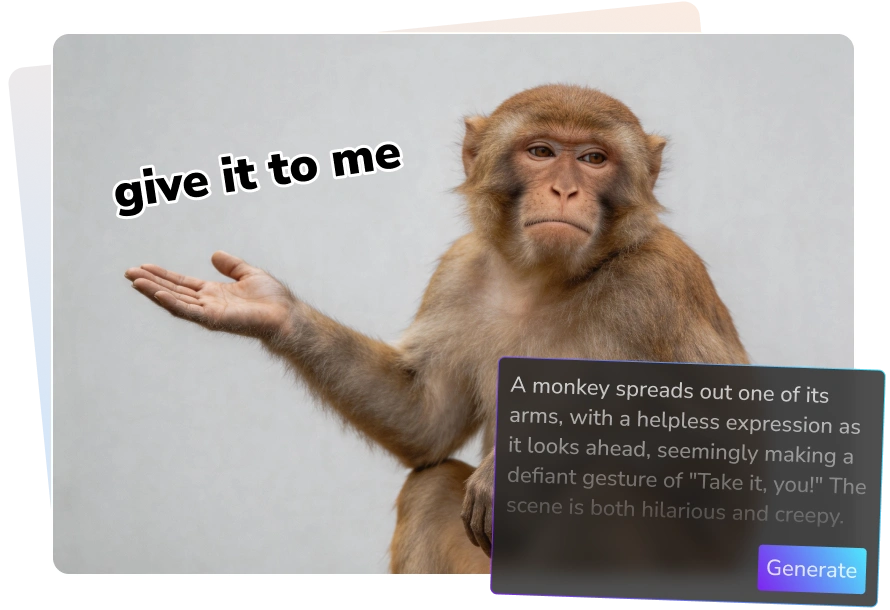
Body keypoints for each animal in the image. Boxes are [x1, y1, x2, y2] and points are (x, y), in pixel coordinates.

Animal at [124, 84, 749, 575]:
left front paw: (532, 457)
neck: (546, 280)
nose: (565, 190)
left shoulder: (660, 287)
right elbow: (426, 421)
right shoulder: (459, 272)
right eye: (541, 152)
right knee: (429, 485)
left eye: (594, 158)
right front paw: (267, 307)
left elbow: (737, 462)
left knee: (606, 485)